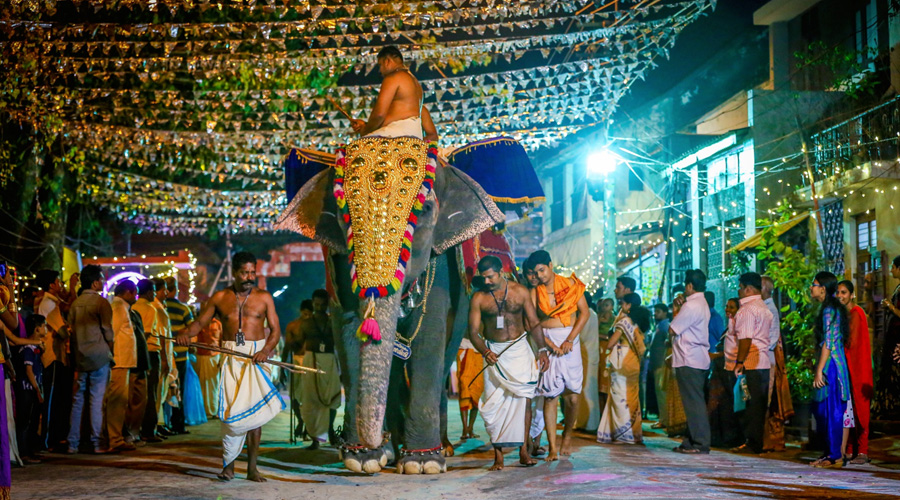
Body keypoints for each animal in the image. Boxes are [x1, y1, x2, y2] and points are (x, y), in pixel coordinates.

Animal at [276, 136, 540, 472]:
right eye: (342, 214)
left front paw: (421, 463)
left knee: (444, 359)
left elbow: (429, 336)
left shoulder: (443, 266)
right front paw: (364, 459)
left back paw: (441, 449)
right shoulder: (336, 263)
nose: (372, 442)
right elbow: (349, 332)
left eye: (424, 209)